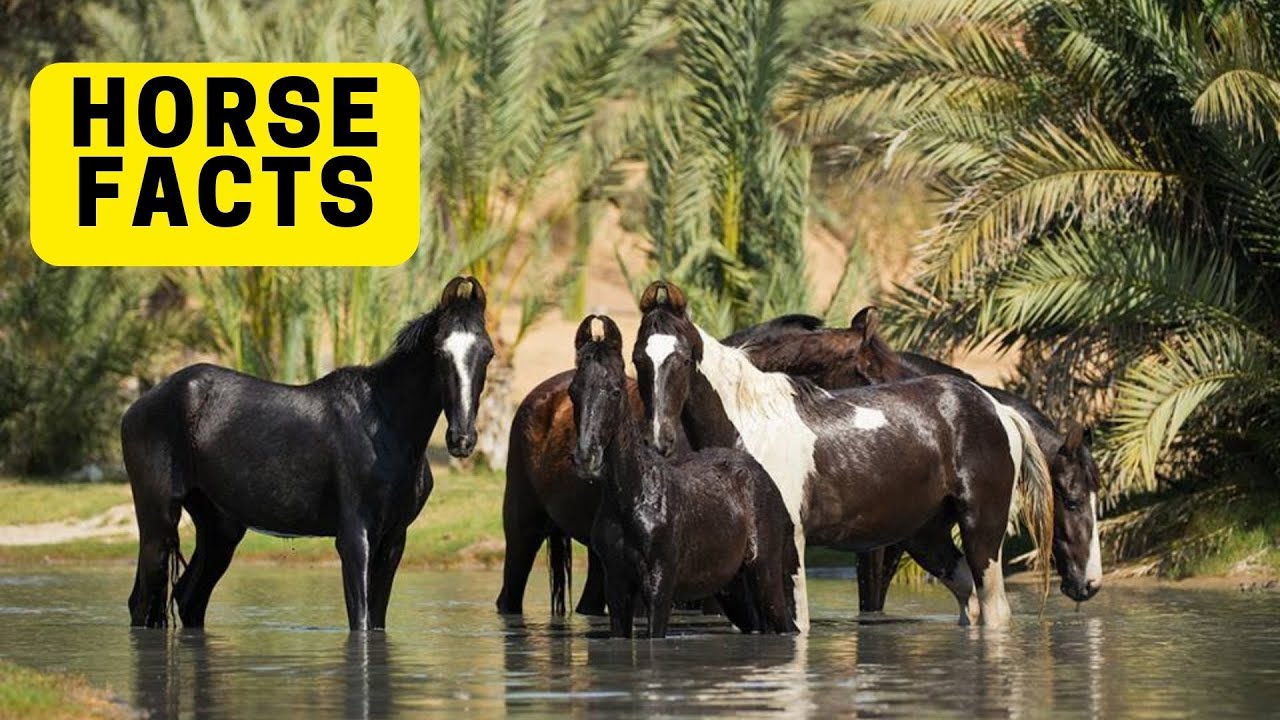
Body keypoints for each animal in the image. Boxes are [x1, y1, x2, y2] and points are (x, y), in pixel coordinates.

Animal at [121, 276, 494, 631]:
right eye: (439, 352)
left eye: (487, 352)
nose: (462, 439)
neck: (384, 425)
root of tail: (141, 404)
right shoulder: (354, 539)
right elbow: (360, 623)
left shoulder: (392, 540)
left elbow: (376, 622)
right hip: (157, 523)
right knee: (141, 602)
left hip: (220, 530)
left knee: (189, 598)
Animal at [569, 315, 799, 638]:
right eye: (573, 392)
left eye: (615, 390)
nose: (586, 457)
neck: (634, 496)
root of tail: (764, 477)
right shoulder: (617, 587)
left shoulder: (659, 587)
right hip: (735, 590)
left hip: (764, 574)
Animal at [633, 281, 1054, 630]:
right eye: (638, 358)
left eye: (683, 358)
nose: (659, 439)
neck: (754, 425)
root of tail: (997, 408)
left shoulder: (790, 547)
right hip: (926, 537)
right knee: (969, 599)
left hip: (982, 528)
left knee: (994, 608)